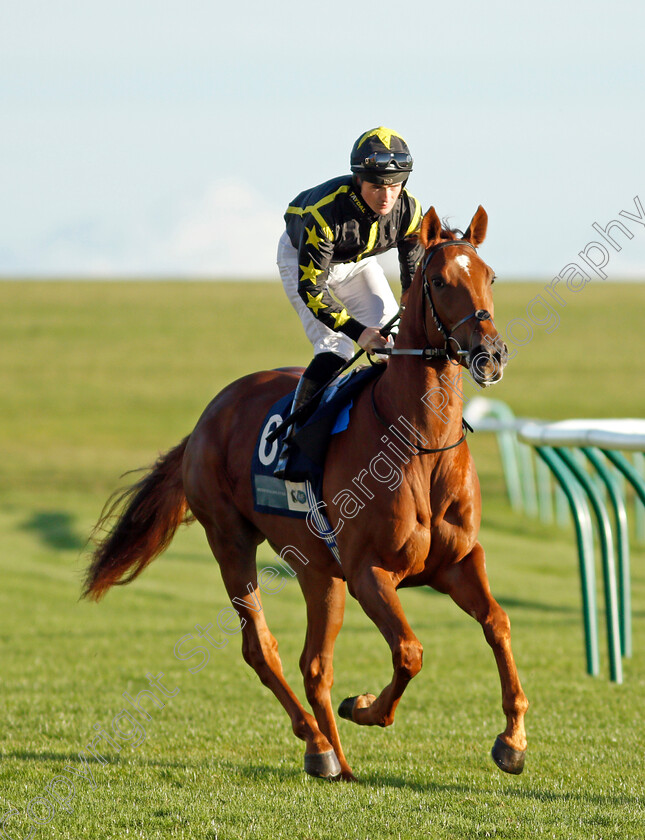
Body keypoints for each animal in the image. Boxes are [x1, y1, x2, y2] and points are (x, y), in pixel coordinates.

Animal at [84, 205, 528, 780]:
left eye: (490, 276)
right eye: (439, 281)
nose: (490, 354)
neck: (420, 444)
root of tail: (208, 418)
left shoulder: (456, 562)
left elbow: (498, 622)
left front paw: (512, 740)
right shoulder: (369, 573)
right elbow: (409, 651)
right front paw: (366, 707)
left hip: (319, 571)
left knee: (314, 664)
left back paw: (335, 758)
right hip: (232, 542)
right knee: (262, 648)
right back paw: (319, 746)